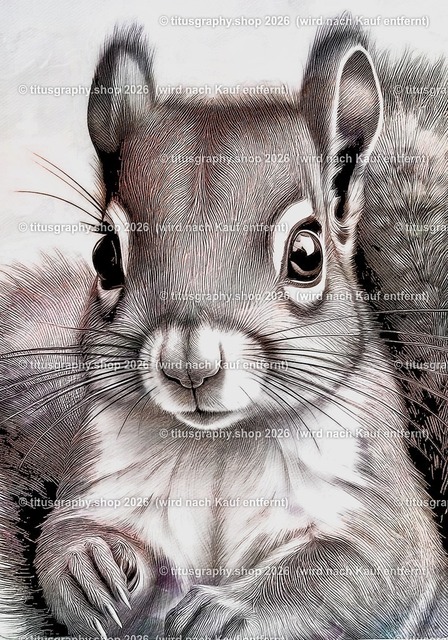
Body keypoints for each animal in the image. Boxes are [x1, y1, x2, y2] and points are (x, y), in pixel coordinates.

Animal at [0, 19, 447, 640]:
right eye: (105, 255)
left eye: (307, 254)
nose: (189, 364)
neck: (219, 446)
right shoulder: (103, 476)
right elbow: (59, 538)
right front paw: (89, 566)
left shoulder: (376, 503)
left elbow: (358, 568)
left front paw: (232, 611)